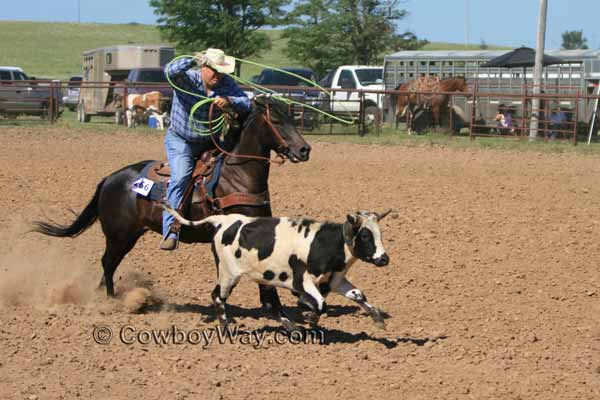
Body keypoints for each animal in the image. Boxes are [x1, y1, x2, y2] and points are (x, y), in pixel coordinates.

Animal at [162, 203, 392, 332]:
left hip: (264, 278)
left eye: (379, 233)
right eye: (365, 235)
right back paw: (226, 329)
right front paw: (310, 316)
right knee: (218, 296)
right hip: (229, 274)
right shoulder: (302, 281)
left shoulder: (335, 280)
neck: (324, 243)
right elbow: (319, 303)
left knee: (269, 303)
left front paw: (378, 319)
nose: (384, 259)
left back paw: (293, 329)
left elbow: (358, 295)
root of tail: (224, 221)